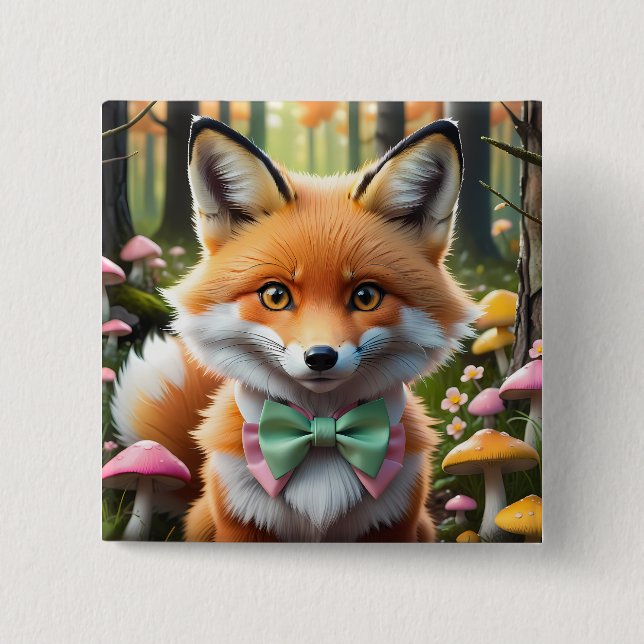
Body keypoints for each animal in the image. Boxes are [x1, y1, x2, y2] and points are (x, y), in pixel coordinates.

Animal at [111, 115, 478, 542]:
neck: (320, 432)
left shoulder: (394, 522)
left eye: (366, 296)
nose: (320, 357)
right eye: (275, 295)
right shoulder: (242, 523)